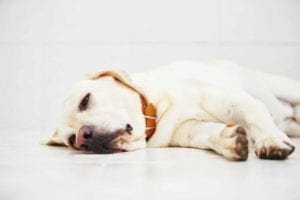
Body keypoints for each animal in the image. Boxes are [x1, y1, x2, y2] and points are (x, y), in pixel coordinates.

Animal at [45, 60, 300, 160]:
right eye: (72, 141)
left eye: (85, 100)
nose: (83, 137)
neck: (157, 109)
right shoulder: (191, 129)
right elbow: (211, 135)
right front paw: (229, 140)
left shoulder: (233, 99)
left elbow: (255, 115)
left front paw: (270, 141)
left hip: (288, 89)